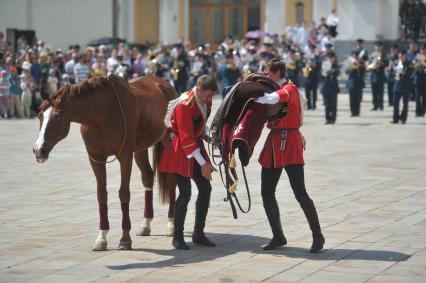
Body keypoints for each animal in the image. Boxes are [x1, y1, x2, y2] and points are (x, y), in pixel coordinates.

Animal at [32, 75, 176, 251]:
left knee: (171, 180)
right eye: (40, 115)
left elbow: (123, 193)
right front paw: (101, 238)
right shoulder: (96, 158)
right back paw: (145, 224)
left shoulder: (125, 156)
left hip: (168, 141)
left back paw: (171, 225)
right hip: (140, 149)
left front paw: (125, 238)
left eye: (58, 117)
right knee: (147, 177)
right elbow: (101, 193)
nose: (39, 150)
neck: (101, 116)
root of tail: (164, 83)